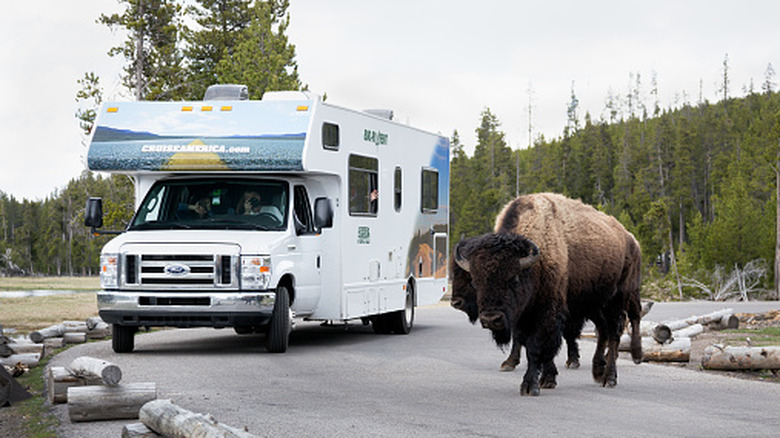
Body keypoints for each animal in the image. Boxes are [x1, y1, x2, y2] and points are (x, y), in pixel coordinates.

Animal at [451, 193, 642, 396]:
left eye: (514, 279)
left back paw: (613, 375)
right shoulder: (524, 317)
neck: (535, 265)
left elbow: (537, 348)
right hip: (594, 303)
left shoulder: (548, 313)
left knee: (618, 330)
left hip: (619, 298)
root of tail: (630, 238)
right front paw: (547, 378)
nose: (491, 319)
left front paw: (530, 386)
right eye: (475, 281)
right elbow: (535, 346)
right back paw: (598, 370)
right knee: (604, 330)